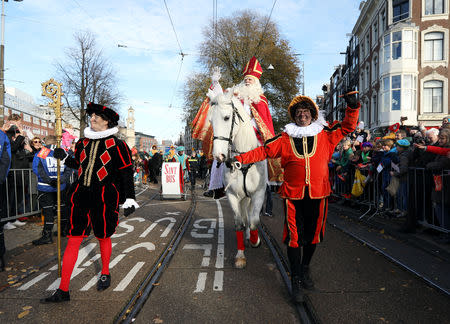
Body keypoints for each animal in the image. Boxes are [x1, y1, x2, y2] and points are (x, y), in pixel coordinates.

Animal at [208, 89, 268, 268]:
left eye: (227, 117)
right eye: (210, 121)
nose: (218, 156)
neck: (244, 159)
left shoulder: (258, 194)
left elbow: (254, 220)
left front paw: (255, 241)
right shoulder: (233, 195)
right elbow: (239, 223)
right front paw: (240, 256)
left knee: (250, 216)